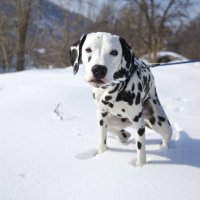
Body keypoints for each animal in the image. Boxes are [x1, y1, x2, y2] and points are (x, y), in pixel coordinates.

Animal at [69, 31, 173, 166]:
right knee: (116, 130)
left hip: (161, 124)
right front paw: (102, 154)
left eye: (114, 52)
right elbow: (102, 140)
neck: (112, 91)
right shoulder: (101, 115)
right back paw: (124, 135)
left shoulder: (138, 123)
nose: (98, 70)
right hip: (112, 121)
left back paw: (163, 149)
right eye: (88, 49)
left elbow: (141, 150)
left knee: (166, 137)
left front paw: (141, 166)